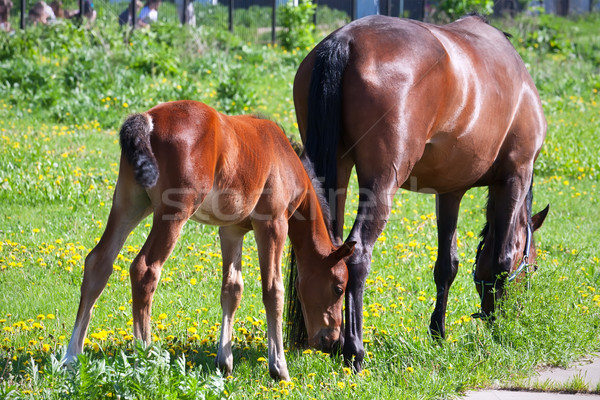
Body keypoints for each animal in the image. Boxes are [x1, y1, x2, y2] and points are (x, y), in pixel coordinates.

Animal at [64, 100, 356, 382]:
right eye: (338, 288)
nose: (332, 341)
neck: (285, 159)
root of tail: (148, 119)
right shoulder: (272, 225)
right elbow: (274, 291)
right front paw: (278, 368)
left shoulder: (231, 231)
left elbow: (232, 289)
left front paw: (224, 363)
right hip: (173, 212)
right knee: (145, 269)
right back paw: (146, 359)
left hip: (130, 202)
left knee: (98, 262)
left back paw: (71, 358)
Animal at [290, 15, 548, 372]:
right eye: (533, 266)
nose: (511, 313)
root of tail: (345, 40)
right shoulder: (516, 175)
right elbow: (502, 257)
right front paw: (497, 331)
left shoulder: (451, 190)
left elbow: (447, 265)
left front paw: (438, 332)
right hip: (382, 182)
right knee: (358, 253)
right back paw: (354, 351)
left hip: (337, 169)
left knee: (331, 250)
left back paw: (336, 341)